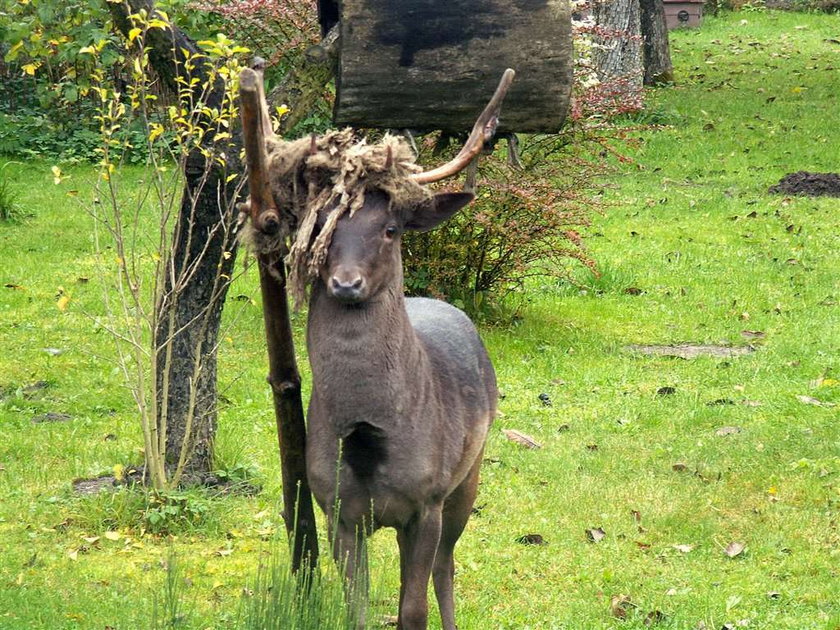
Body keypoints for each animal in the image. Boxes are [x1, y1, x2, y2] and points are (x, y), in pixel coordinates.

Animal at [236, 60, 512, 630]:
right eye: (320, 224)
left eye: (389, 228)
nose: (346, 283)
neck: (370, 433)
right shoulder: (337, 509)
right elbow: (355, 609)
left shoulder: (427, 500)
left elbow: (413, 610)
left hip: (470, 471)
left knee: (448, 566)